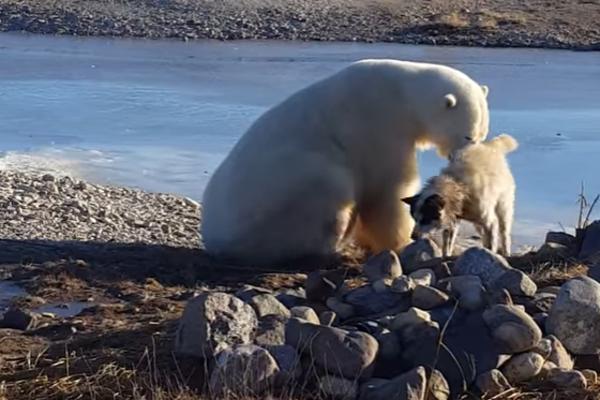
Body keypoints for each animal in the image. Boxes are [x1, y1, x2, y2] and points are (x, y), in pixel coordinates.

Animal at [202, 59, 492, 266]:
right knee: (329, 187)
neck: (402, 93)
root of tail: (214, 238)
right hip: (280, 193)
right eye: (467, 135)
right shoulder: (378, 123)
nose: (468, 158)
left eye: (482, 134)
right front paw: (399, 242)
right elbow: (387, 188)